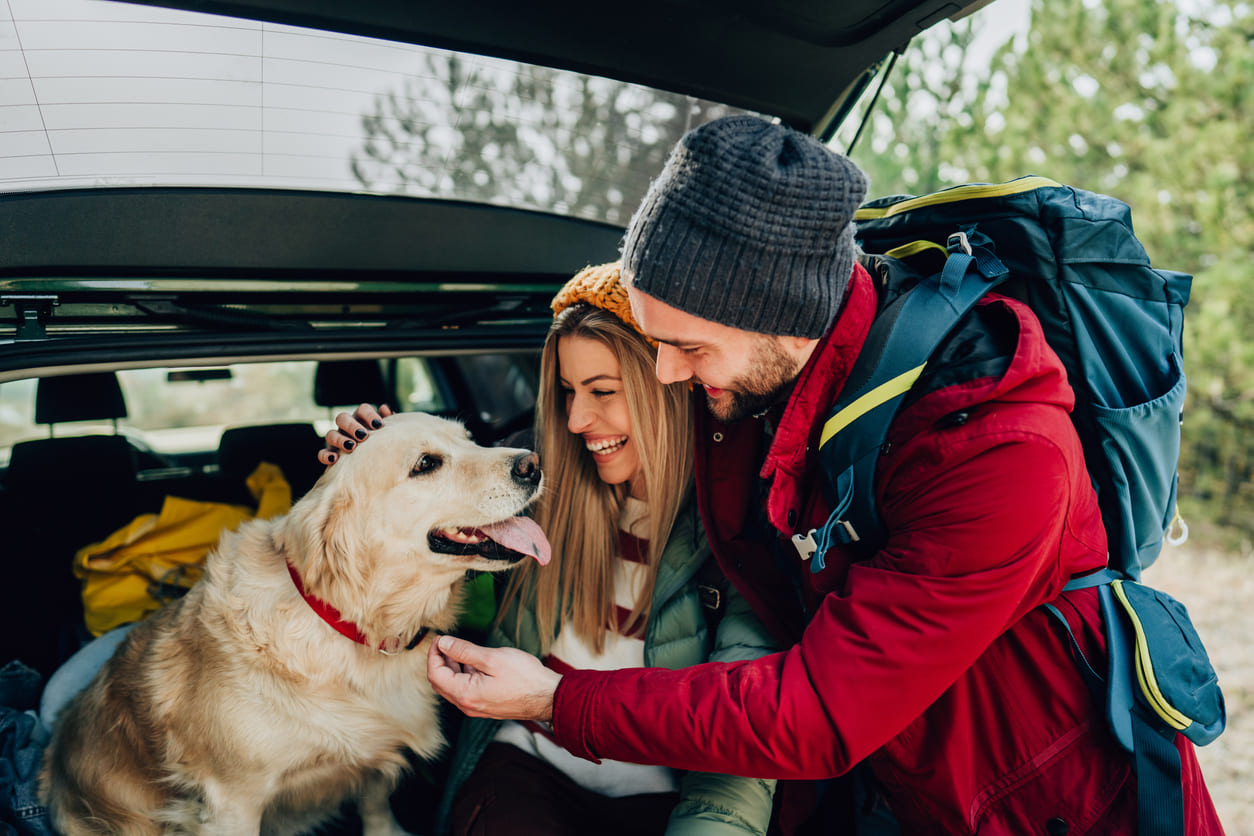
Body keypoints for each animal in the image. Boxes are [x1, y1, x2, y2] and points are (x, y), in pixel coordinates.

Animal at [39, 413, 546, 836]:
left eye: (470, 438)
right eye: (426, 464)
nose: (532, 463)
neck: (352, 624)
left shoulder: (375, 750)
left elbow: (375, 802)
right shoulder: (232, 802)